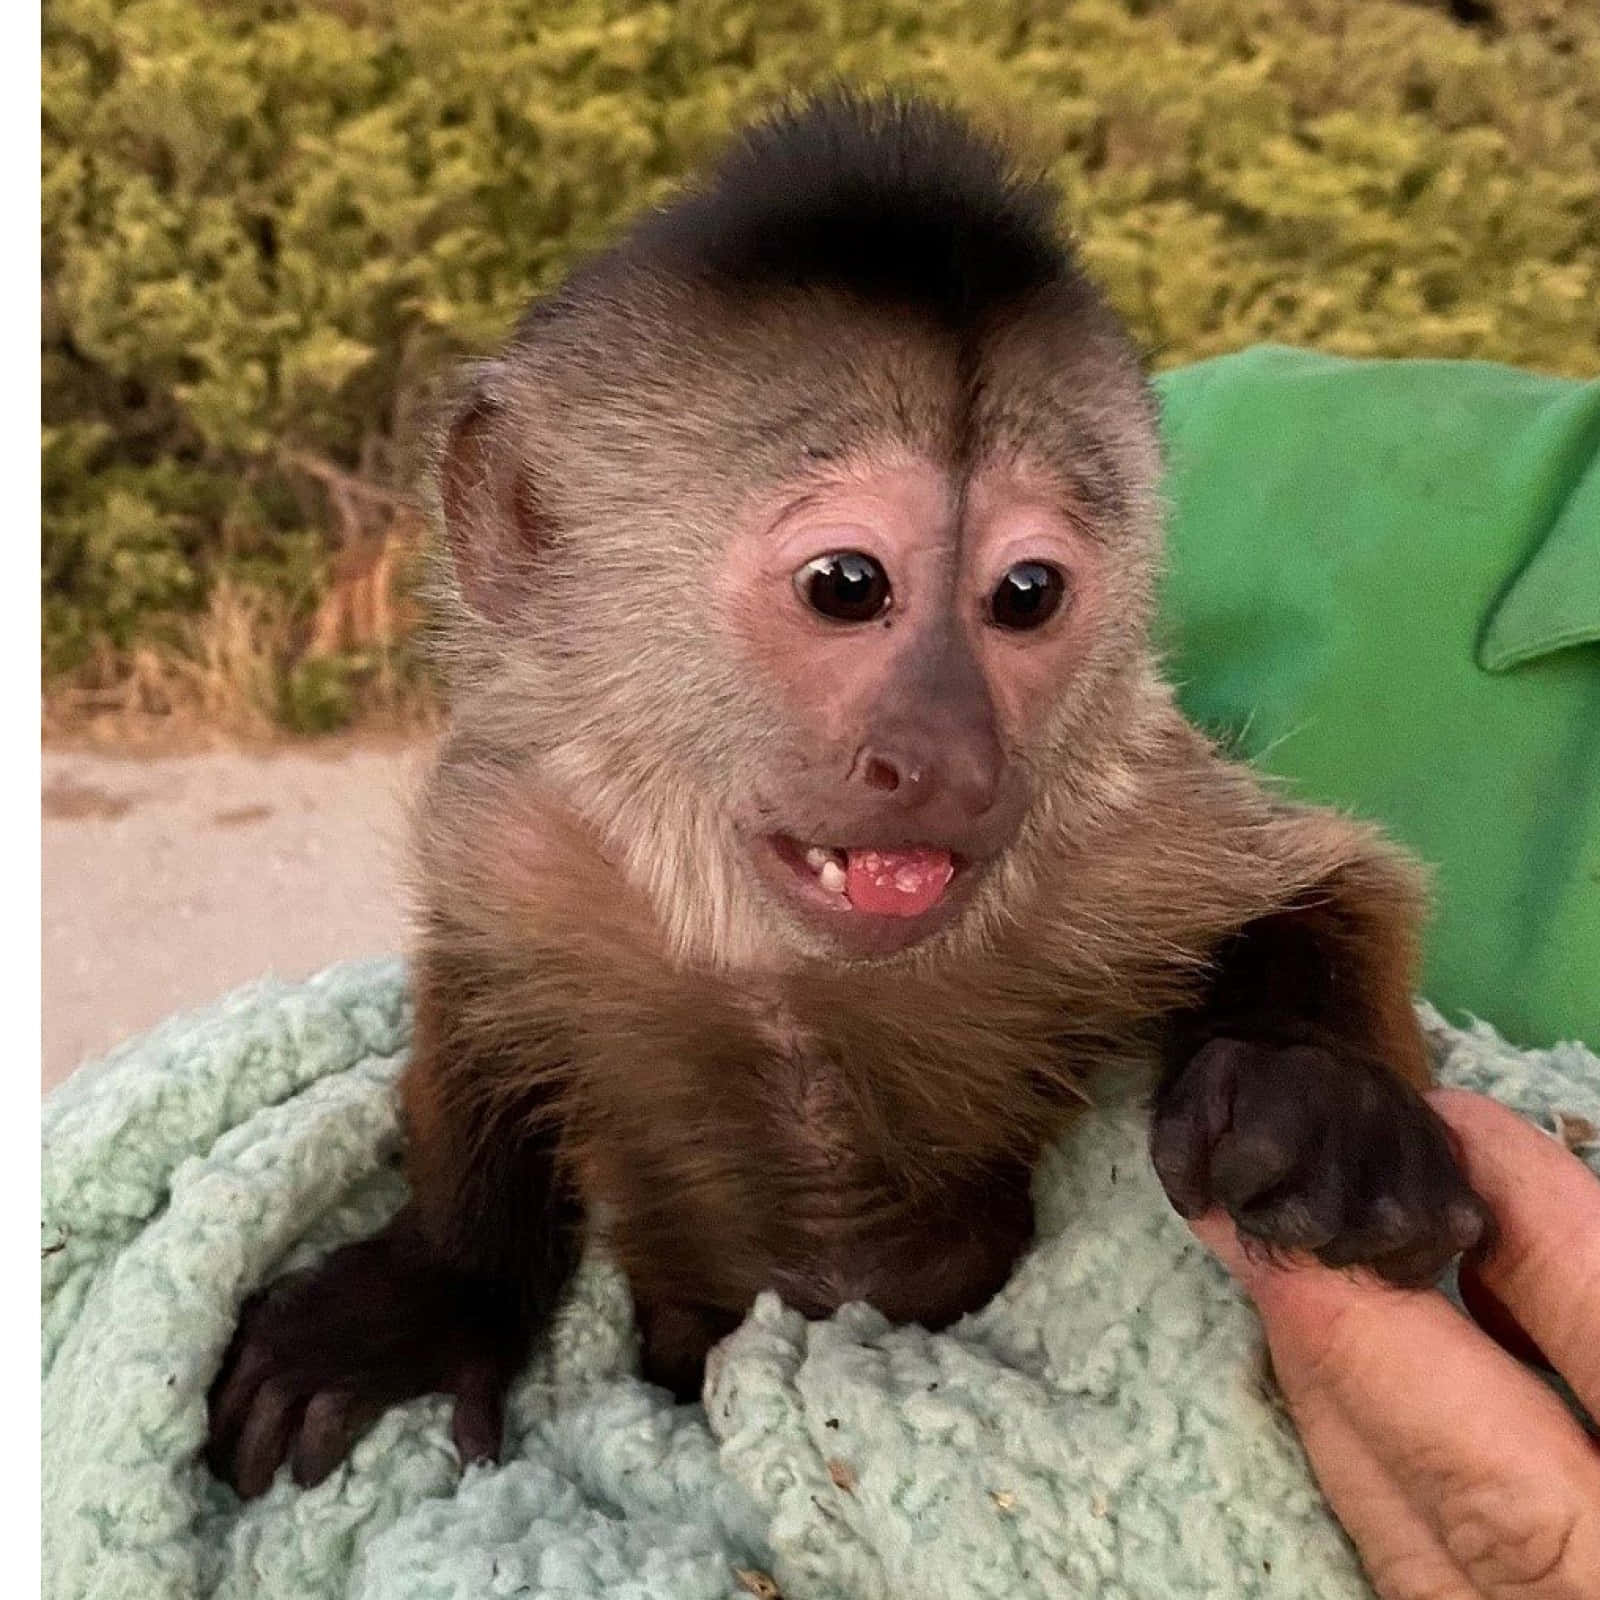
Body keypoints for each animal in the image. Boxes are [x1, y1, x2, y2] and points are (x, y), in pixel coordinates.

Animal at [206, 91, 1491, 1500]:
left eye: (1025, 595)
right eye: (845, 584)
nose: (950, 758)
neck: (784, 964)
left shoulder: (1112, 825)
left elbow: (1326, 881)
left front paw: (1317, 1094)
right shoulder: (521, 829)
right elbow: (482, 996)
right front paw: (434, 1289)